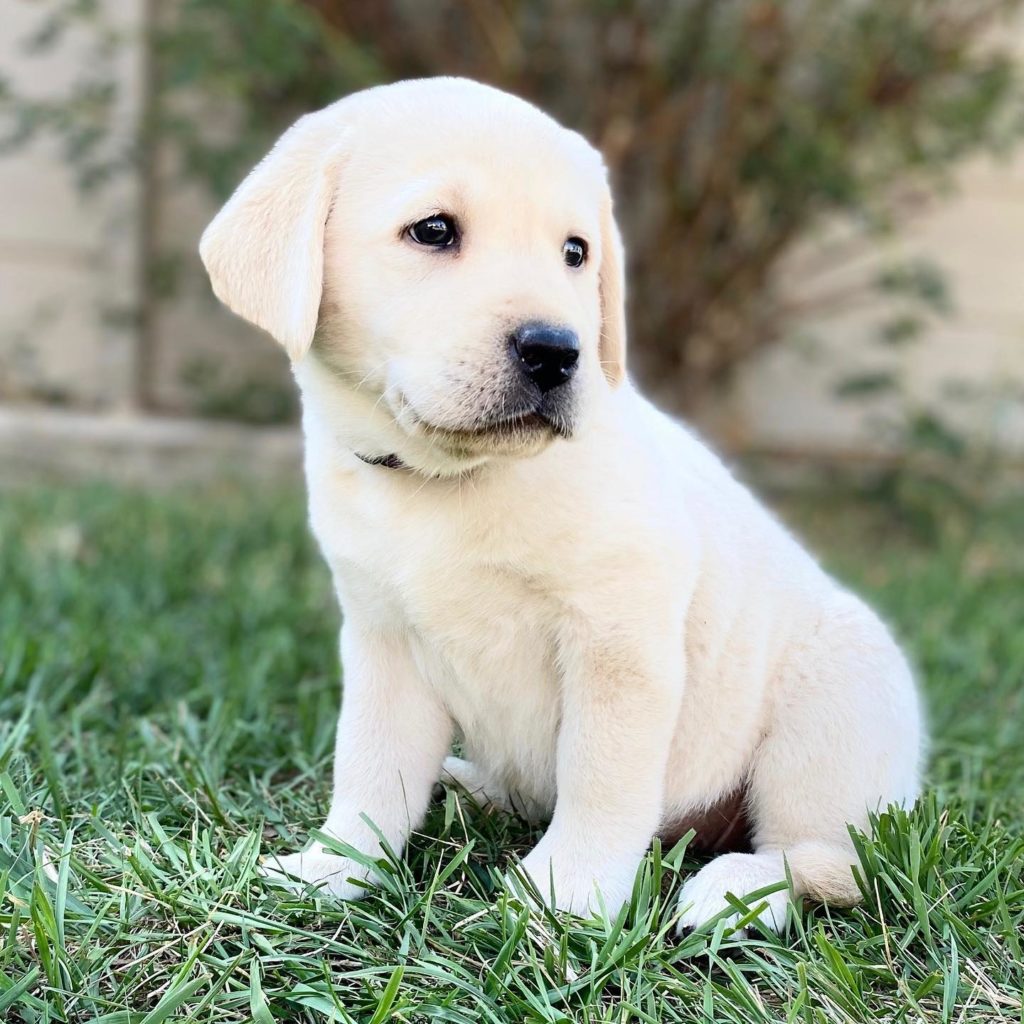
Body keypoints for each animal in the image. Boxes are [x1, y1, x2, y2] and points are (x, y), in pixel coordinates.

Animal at [197, 75, 921, 933]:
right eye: (433, 231)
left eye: (576, 252)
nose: (557, 351)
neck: (452, 481)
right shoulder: (382, 639)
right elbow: (370, 769)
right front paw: (335, 868)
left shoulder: (618, 643)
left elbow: (600, 779)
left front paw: (566, 894)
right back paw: (475, 784)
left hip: (831, 710)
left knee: (828, 863)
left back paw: (734, 891)